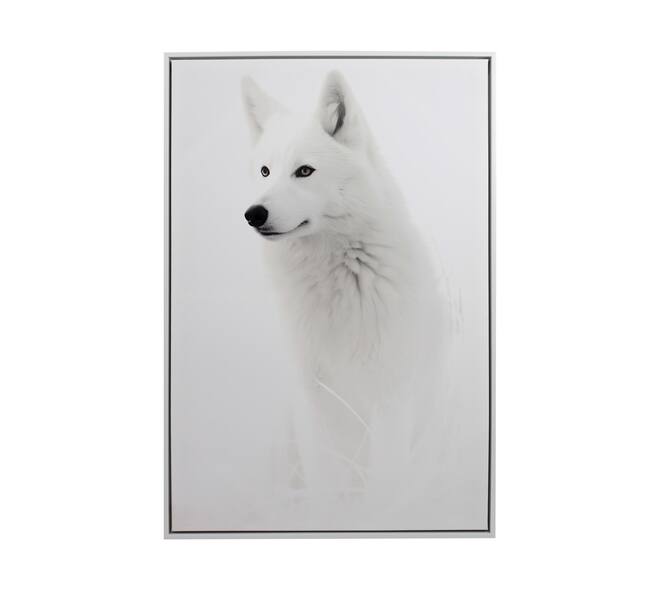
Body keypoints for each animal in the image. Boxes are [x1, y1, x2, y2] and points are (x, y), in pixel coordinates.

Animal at [241, 71, 450, 496]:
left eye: (304, 171)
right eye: (265, 171)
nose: (254, 214)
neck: (334, 276)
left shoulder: (390, 396)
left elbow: (384, 484)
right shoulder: (312, 398)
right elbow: (326, 484)